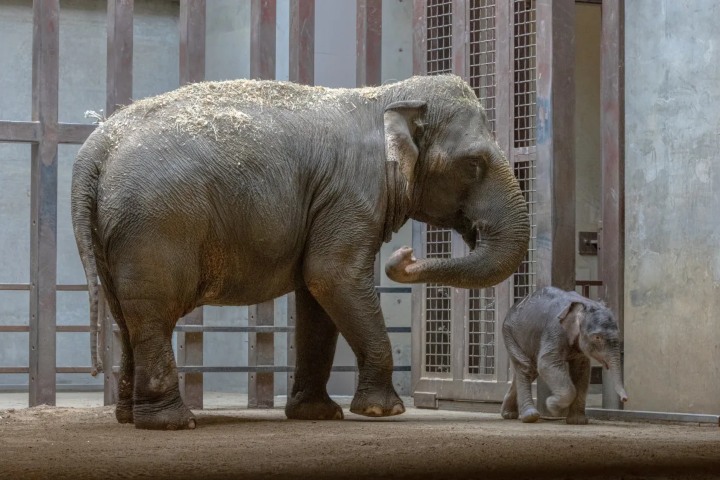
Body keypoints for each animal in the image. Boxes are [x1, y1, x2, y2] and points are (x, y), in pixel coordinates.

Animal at [71, 74, 530, 430]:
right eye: (473, 165)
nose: (405, 255)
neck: (384, 96)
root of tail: (95, 148)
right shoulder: (351, 193)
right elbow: (332, 277)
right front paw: (383, 411)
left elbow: (317, 295)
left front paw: (318, 414)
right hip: (155, 225)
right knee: (153, 312)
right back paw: (173, 423)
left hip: (117, 231)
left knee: (126, 314)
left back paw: (130, 417)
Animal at [500, 286, 628, 424]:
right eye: (597, 337)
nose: (625, 399)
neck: (583, 304)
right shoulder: (555, 329)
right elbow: (546, 363)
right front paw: (552, 407)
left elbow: (581, 370)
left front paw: (578, 421)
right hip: (510, 334)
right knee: (526, 367)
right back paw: (530, 416)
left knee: (531, 370)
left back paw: (508, 414)